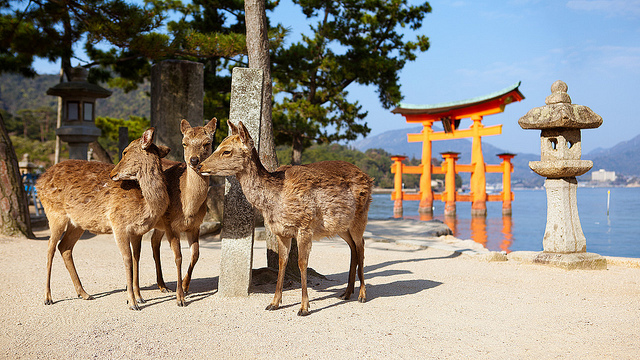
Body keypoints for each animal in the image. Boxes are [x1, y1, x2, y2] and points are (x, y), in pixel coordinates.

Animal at [37, 128, 170, 310]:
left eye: (125, 151)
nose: (112, 173)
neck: (145, 204)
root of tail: (38, 182)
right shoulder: (118, 224)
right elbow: (127, 259)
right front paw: (132, 302)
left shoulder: (138, 231)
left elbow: (136, 259)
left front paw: (140, 297)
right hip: (55, 214)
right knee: (50, 247)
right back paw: (48, 297)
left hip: (77, 224)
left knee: (64, 247)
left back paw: (84, 293)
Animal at [146, 119, 216, 306]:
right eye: (184, 143)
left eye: (207, 143)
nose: (194, 160)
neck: (188, 209)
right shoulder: (171, 225)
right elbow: (178, 257)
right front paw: (180, 298)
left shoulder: (195, 226)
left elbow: (196, 254)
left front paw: (185, 286)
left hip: (160, 224)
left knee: (154, 242)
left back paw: (163, 286)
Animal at [198, 121, 372, 316]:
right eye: (216, 146)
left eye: (226, 151)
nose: (199, 165)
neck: (275, 202)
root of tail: (368, 178)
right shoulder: (280, 231)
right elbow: (282, 262)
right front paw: (274, 303)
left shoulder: (305, 225)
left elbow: (302, 263)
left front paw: (304, 307)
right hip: (341, 226)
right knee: (353, 248)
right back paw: (346, 293)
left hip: (360, 217)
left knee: (361, 246)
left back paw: (362, 295)